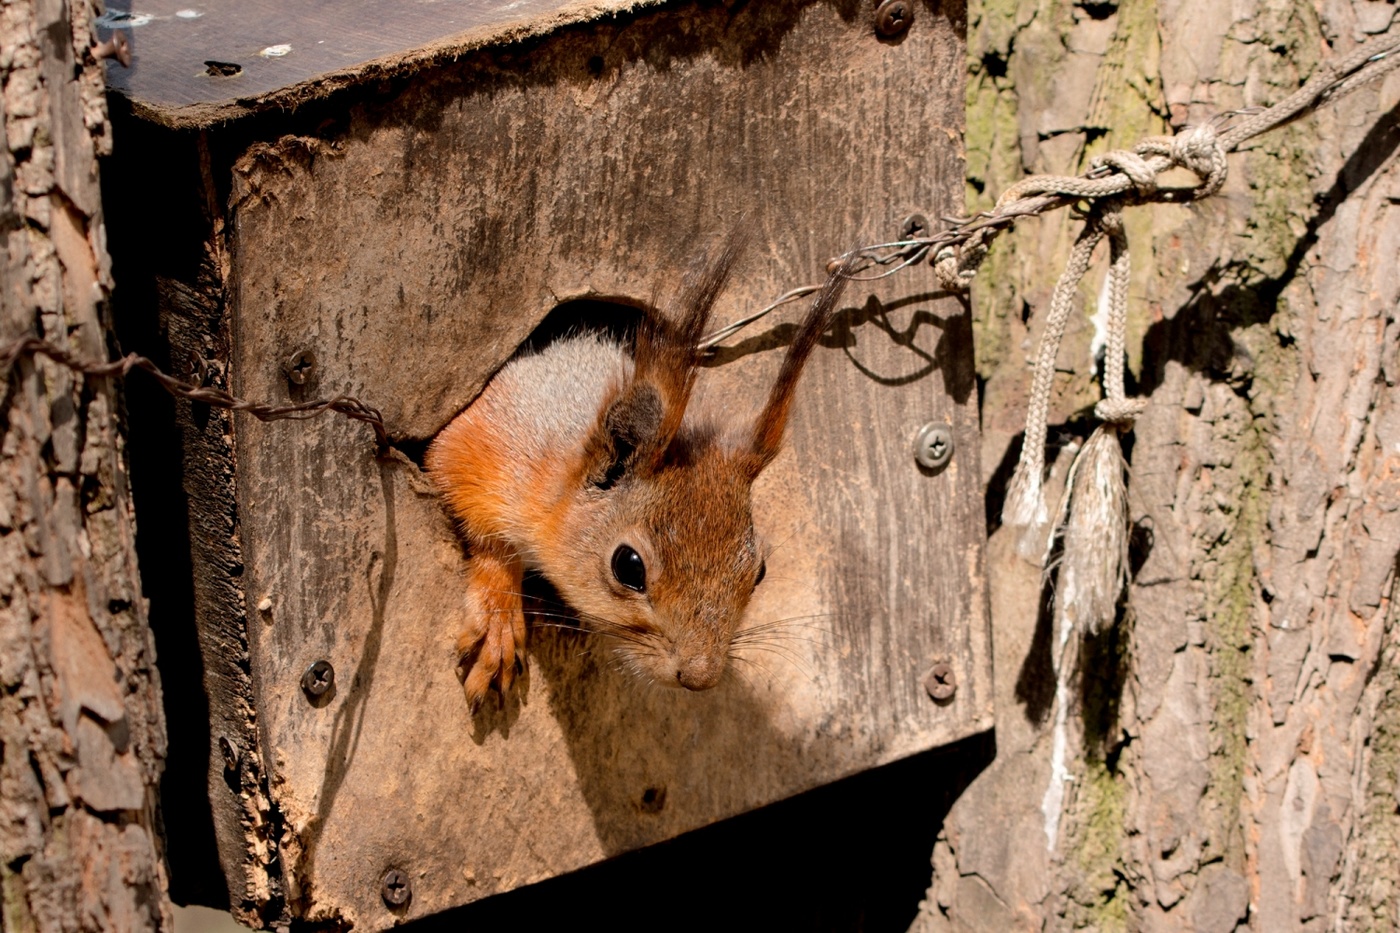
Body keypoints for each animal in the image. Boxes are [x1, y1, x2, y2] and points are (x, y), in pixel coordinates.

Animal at [426, 241, 848, 709]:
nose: (700, 675)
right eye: (627, 566)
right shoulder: (485, 448)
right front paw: (498, 621)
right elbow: (484, 530)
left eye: (759, 572)